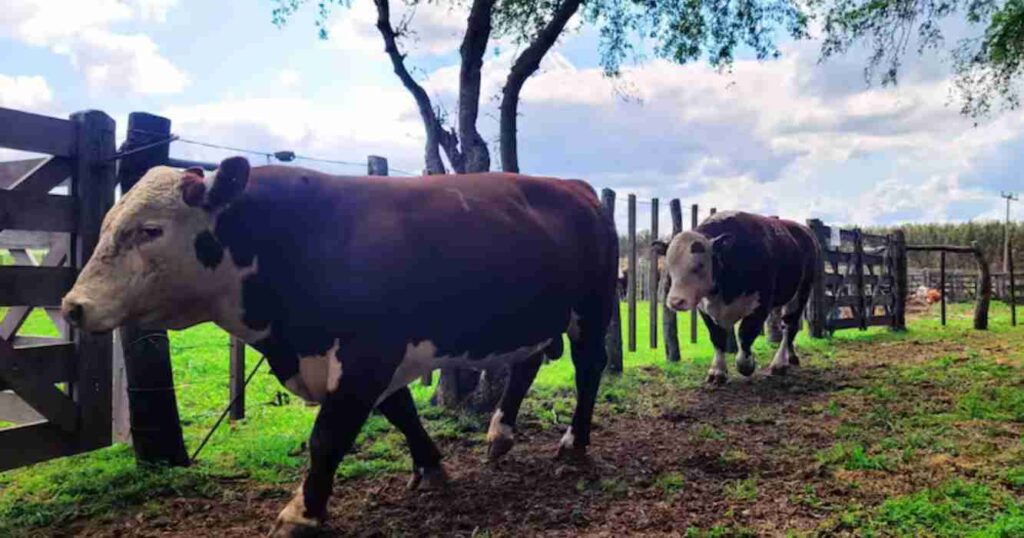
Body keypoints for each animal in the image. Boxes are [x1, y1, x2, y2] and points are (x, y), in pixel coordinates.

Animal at [61, 157, 614, 532]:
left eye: (150, 230)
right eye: (106, 226)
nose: (73, 305)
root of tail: (574, 186)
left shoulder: (369, 352)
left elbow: (328, 435)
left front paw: (302, 512)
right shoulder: (371, 358)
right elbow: (401, 413)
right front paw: (430, 467)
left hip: (591, 310)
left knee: (589, 369)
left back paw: (574, 443)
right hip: (538, 317)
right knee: (527, 365)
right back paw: (499, 435)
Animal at [655, 210, 823, 381]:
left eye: (700, 265)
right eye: (669, 265)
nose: (675, 301)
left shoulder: (761, 304)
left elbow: (745, 334)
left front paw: (746, 365)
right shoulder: (704, 308)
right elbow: (717, 337)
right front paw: (717, 370)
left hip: (802, 291)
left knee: (790, 325)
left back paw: (779, 363)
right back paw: (791, 356)